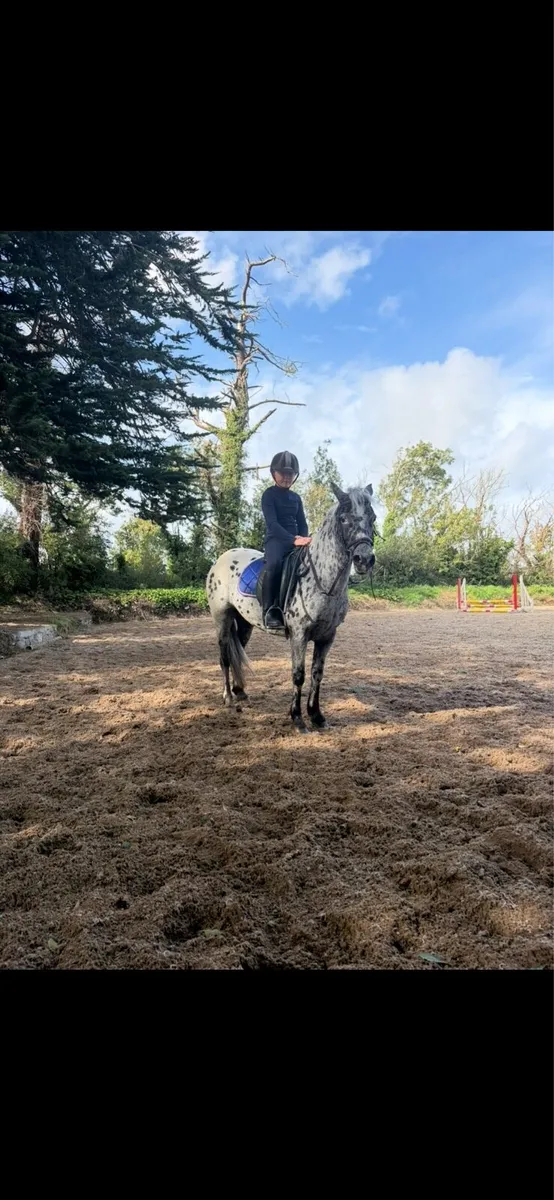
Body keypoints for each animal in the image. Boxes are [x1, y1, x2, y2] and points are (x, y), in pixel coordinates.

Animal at [206, 483, 377, 731]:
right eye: (344, 519)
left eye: (373, 518)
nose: (364, 559)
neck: (322, 580)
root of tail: (222, 558)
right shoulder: (299, 634)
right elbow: (299, 675)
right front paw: (297, 718)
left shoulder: (327, 636)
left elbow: (317, 673)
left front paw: (317, 716)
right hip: (222, 619)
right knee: (225, 657)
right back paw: (228, 696)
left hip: (244, 624)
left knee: (238, 650)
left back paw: (240, 692)